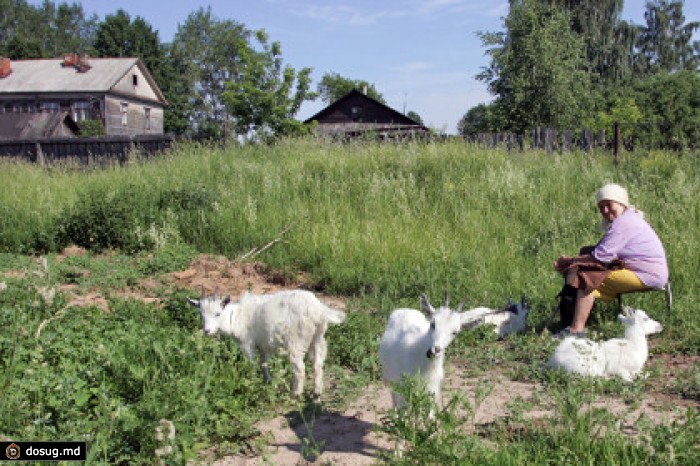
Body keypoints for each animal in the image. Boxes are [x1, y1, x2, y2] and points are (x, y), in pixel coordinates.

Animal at [187, 288, 346, 396]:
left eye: (217, 314)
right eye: (201, 314)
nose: (207, 331)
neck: (236, 316)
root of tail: (317, 310)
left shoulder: (247, 343)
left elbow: (251, 363)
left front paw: (251, 383)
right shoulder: (263, 346)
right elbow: (263, 364)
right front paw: (267, 382)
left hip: (295, 341)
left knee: (300, 368)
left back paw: (295, 394)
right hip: (318, 337)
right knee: (318, 364)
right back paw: (317, 393)